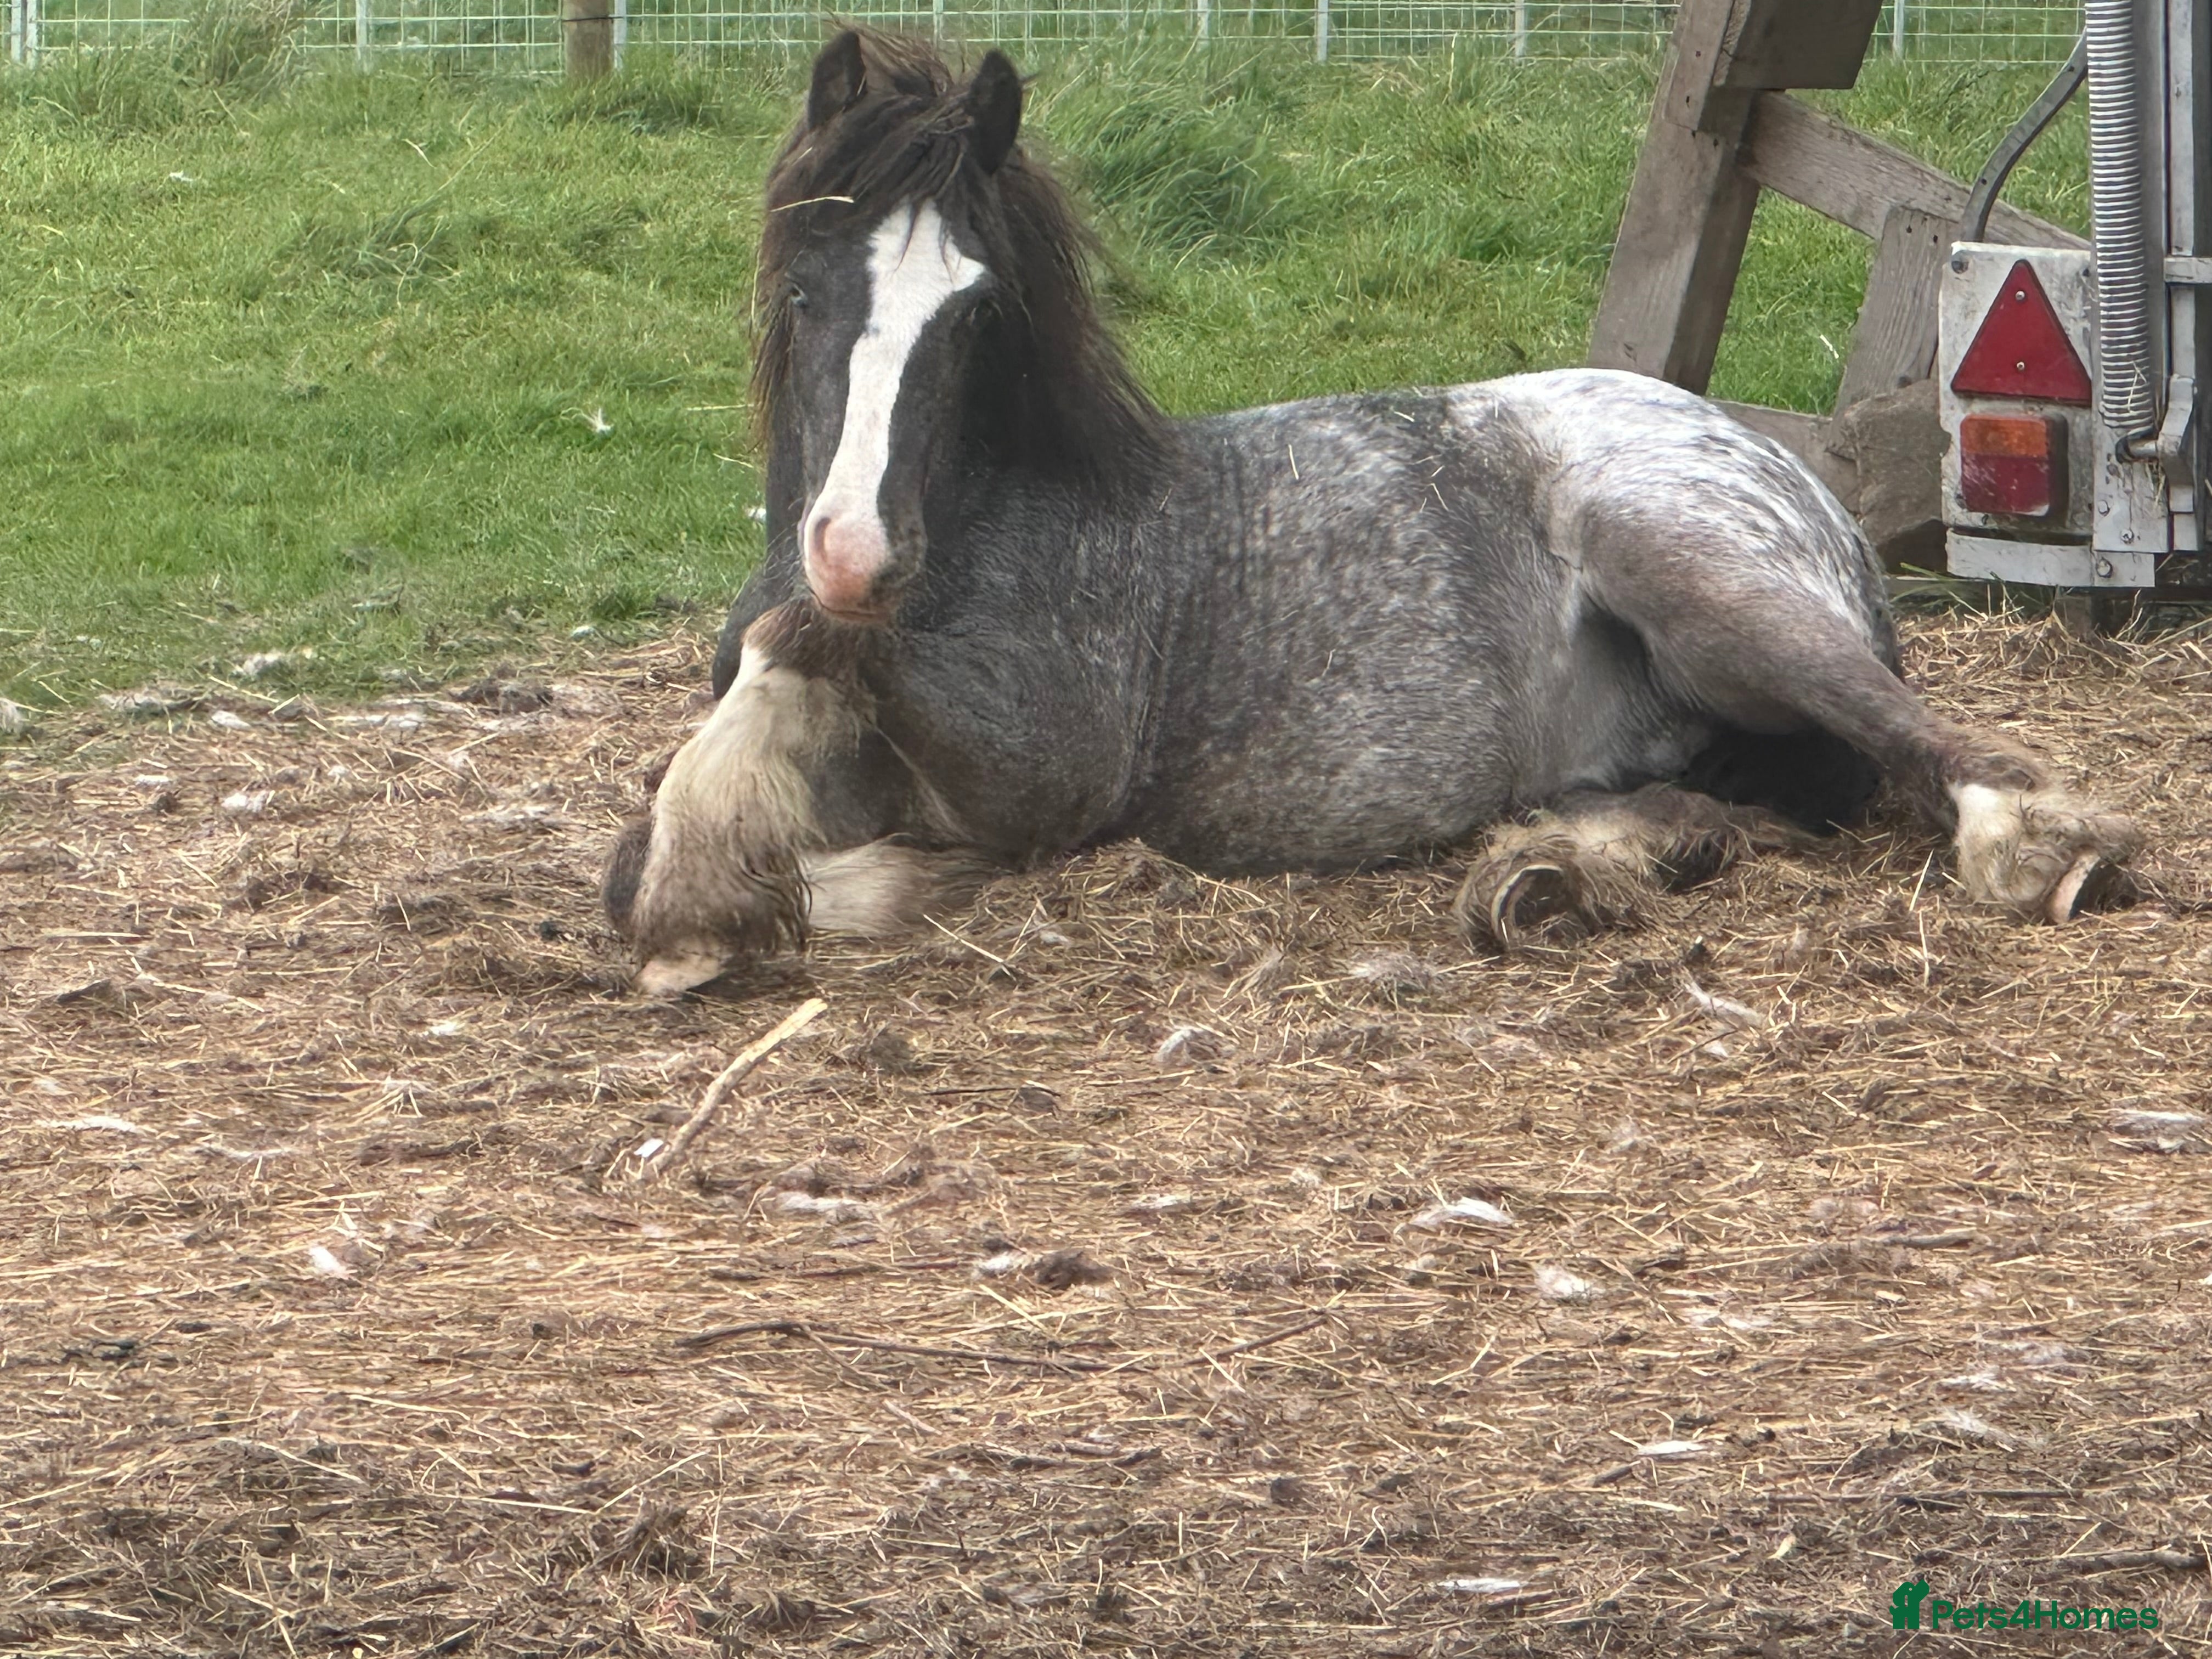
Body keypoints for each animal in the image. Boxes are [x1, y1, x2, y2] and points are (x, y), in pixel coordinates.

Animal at [602, 28, 2139, 997]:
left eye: (976, 315)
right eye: (810, 291)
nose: (857, 553)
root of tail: (1781, 471)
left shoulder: (1041, 781)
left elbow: (793, 697)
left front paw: (722, 907)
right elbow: (663, 814)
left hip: (1694, 573)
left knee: (1939, 748)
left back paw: (2042, 856)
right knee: (1741, 803)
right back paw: (1555, 875)